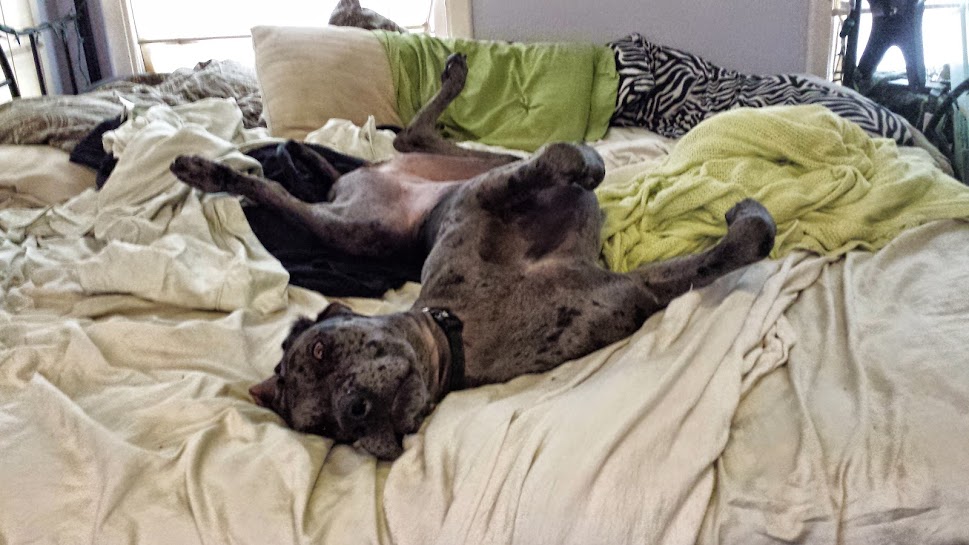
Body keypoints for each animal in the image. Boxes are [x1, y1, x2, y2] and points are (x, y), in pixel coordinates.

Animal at [170, 54, 776, 459]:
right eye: (326, 430)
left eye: (320, 350)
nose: (353, 412)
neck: (459, 326)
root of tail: (352, 183)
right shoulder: (633, 290)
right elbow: (738, 246)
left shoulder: (488, 194)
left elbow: (557, 156)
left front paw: (586, 161)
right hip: (358, 228)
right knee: (326, 173)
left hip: (445, 177)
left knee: (403, 142)